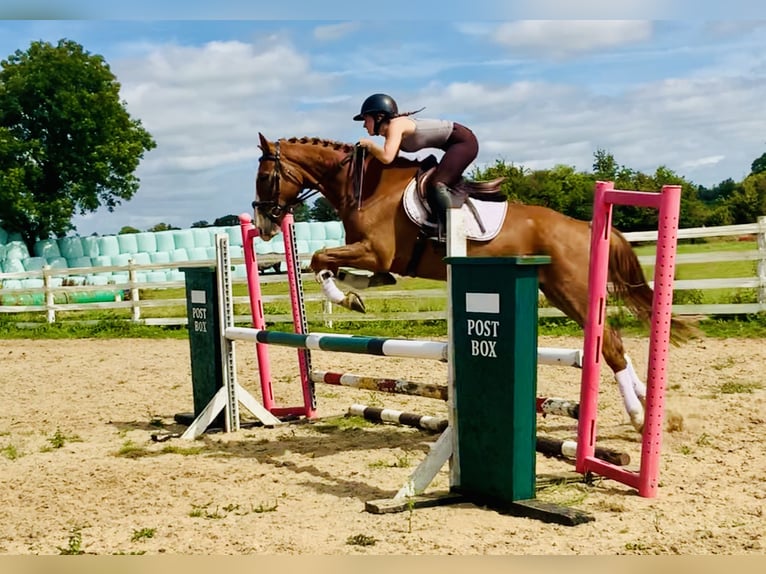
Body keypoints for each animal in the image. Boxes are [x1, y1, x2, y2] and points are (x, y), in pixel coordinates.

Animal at [255, 134, 700, 432]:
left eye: (265, 177)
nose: (262, 225)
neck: (370, 187)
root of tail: (588, 227)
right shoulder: (377, 260)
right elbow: (349, 272)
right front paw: (353, 296)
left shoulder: (374, 251)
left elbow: (319, 260)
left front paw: (343, 296)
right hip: (557, 291)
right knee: (611, 342)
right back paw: (651, 406)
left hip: (573, 291)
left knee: (608, 344)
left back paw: (639, 417)